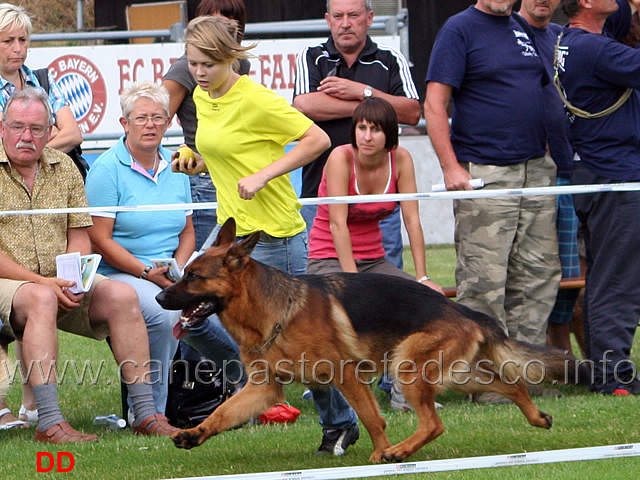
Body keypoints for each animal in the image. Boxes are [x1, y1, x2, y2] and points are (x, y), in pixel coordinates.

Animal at [155, 219, 584, 464]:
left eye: (194, 276)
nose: (159, 298)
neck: (273, 311)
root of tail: (461, 309)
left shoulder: (345, 375)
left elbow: (372, 418)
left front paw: (379, 452)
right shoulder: (264, 388)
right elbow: (221, 414)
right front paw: (194, 433)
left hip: (408, 367)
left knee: (434, 423)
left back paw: (400, 451)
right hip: (451, 374)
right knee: (509, 384)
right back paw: (537, 417)